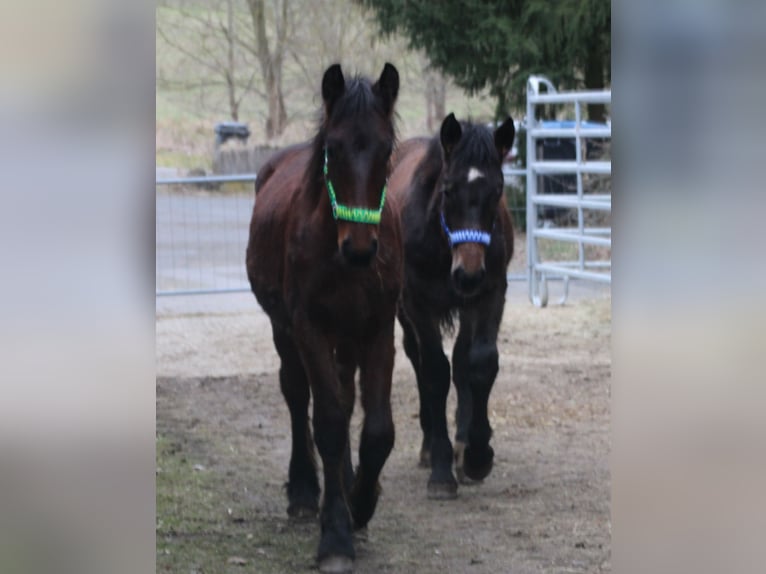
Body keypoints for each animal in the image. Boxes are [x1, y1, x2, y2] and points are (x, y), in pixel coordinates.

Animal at [249, 64, 404, 574]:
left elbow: (377, 430)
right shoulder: (309, 328)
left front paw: (361, 502)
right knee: (300, 397)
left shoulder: (378, 330)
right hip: (285, 331)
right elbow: (329, 423)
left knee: (345, 394)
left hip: (348, 337)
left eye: (386, 148)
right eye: (333, 148)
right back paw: (303, 491)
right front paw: (335, 533)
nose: (359, 248)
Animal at [390, 112, 516, 500]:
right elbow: (433, 371)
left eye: (497, 190)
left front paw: (476, 454)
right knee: (417, 358)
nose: (468, 274)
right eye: (448, 190)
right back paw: (430, 448)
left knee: (461, 361)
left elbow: (479, 363)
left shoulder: (490, 294)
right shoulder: (417, 302)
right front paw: (442, 470)